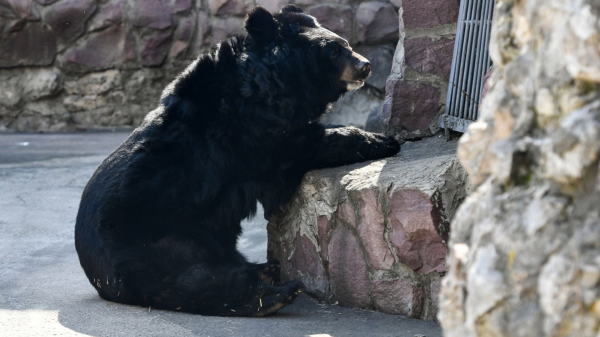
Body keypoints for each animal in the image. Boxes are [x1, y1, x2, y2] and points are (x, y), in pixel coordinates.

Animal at [76, 4, 398, 316]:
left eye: (346, 44)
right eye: (333, 50)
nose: (365, 65)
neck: (268, 83)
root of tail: (96, 275)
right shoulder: (247, 133)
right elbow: (296, 149)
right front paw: (384, 140)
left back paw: (266, 271)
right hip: (155, 237)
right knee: (191, 279)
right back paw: (274, 293)